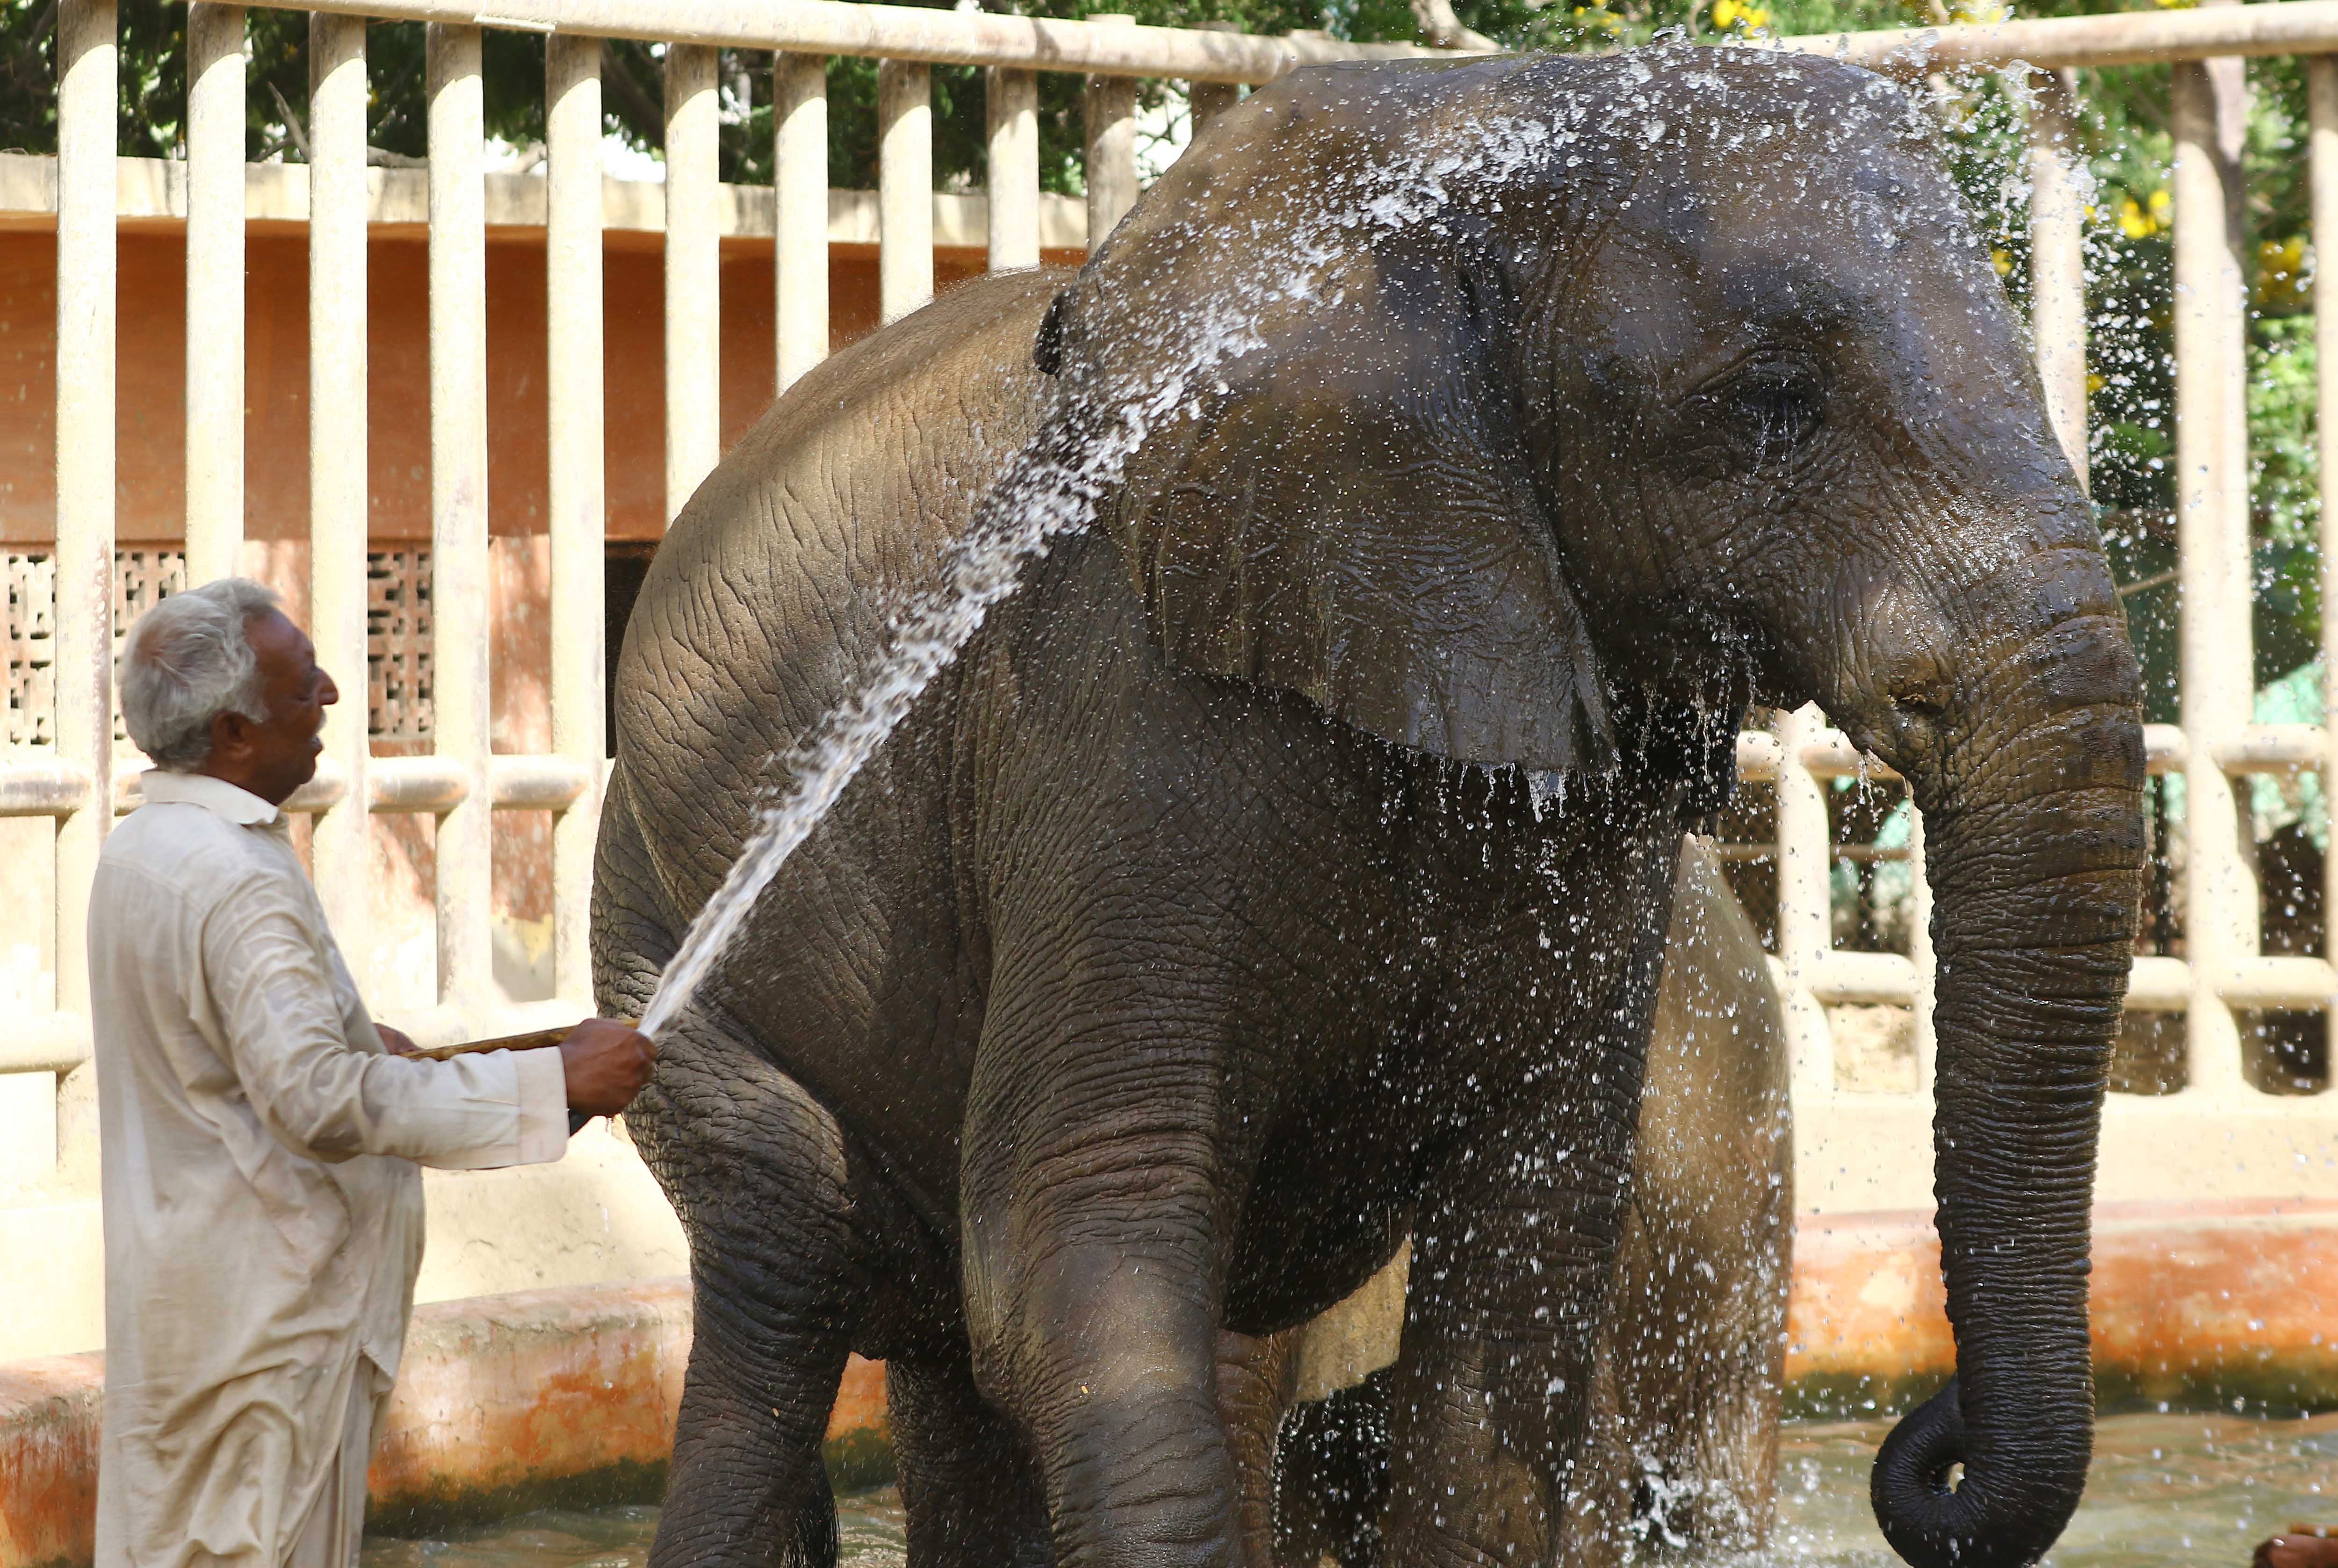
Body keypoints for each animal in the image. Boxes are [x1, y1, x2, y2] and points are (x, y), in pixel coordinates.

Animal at [594, 43, 2142, 1568]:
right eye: (1770, 403)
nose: (1930, 1438)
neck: (1467, 129)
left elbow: (1522, 1276)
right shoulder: (1118, 720)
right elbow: (1078, 1243)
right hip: (659, 939)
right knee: (791, 1266)